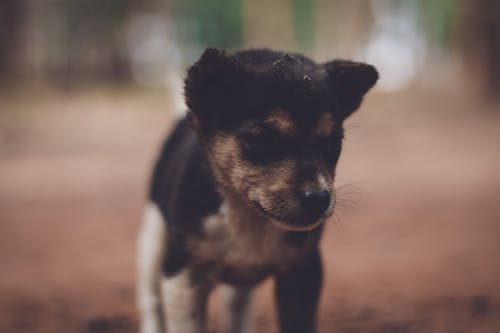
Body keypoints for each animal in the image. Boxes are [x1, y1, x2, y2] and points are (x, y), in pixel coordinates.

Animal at [137, 47, 376, 332]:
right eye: (263, 139)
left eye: (334, 142)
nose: (319, 199)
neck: (248, 215)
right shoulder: (183, 273)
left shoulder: (303, 273)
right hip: (153, 242)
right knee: (151, 302)